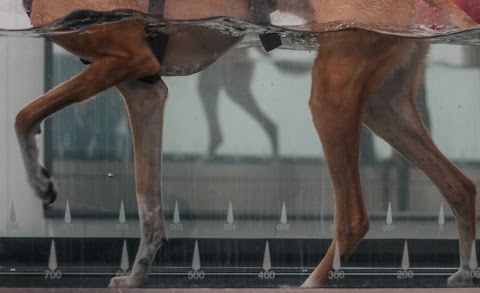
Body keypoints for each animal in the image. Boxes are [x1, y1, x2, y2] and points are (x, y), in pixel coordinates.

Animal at [16, 0, 478, 288]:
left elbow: (23, 116)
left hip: (331, 95)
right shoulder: (145, 91)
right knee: (461, 186)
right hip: (383, 107)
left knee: (354, 218)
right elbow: (148, 198)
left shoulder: (130, 59)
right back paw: (463, 273)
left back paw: (308, 284)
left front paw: (41, 182)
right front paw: (136, 276)